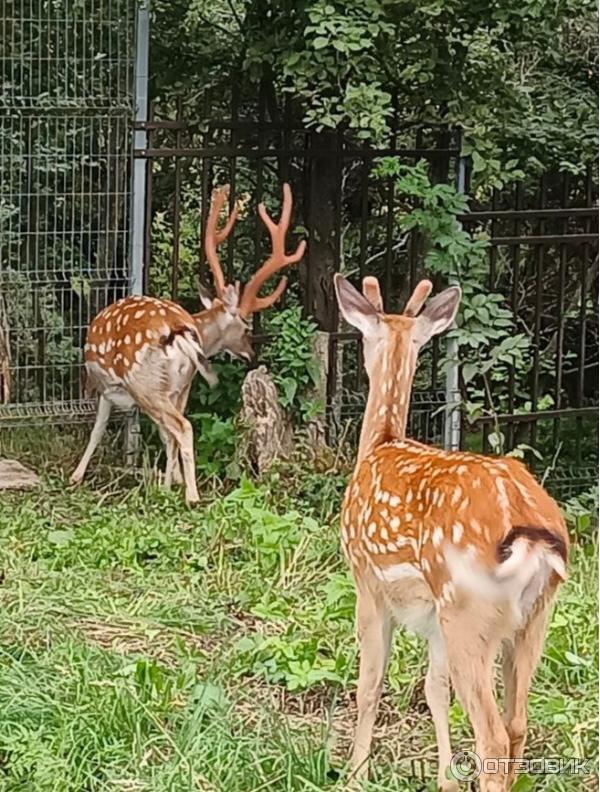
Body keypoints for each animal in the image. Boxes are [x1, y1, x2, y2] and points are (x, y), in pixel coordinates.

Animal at [70, 182, 304, 502]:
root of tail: (179, 330)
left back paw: (191, 495)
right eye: (245, 328)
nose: (250, 354)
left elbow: (99, 428)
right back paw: (177, 486)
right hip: (179, 384)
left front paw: (76, 475)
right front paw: (173, 479)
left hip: (144, 384)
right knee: (175, 429)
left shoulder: (107, 388)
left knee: (181, 427)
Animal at [336, 274, 568, 792]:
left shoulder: (367, 582)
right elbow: (434, 690)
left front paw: (355, 773)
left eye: (363, 338)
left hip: (469, 610)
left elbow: (369, 684)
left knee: (493, 735)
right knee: (518, 722)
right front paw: (444, 777)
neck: (378, 444)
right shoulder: (432, 615)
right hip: (533, 616)